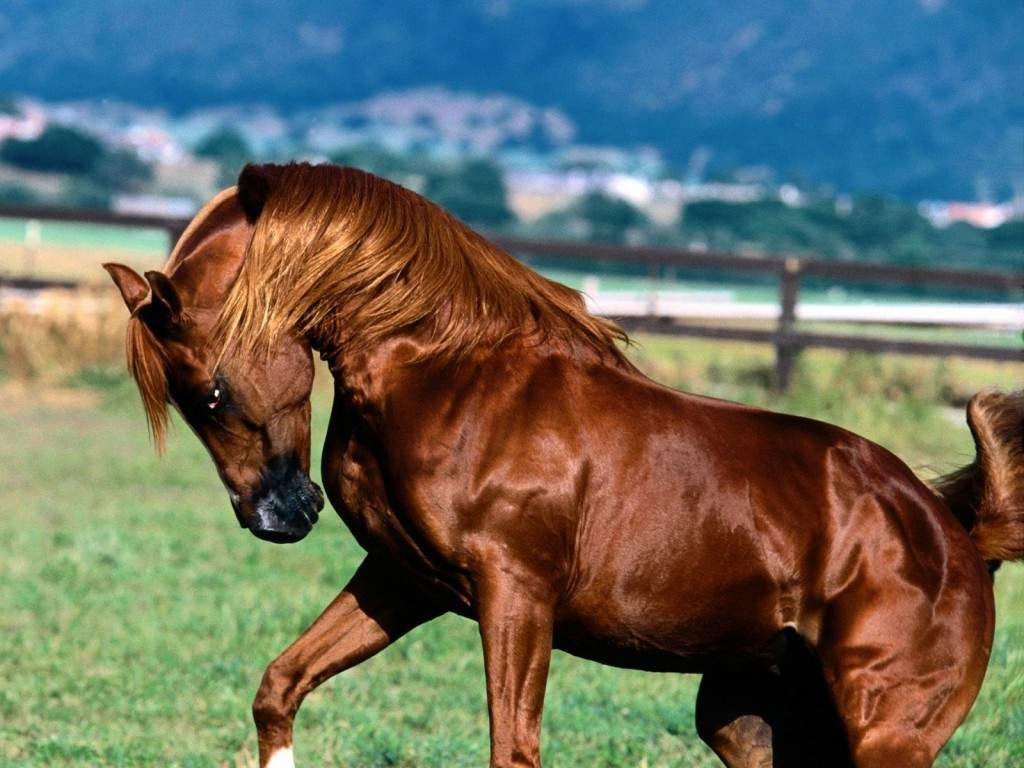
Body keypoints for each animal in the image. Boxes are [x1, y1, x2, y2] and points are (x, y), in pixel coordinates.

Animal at [105, 163, 1024, 768]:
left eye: (209, 392)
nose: (278, 517)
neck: (451, 376)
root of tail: (958, 537)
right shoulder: (404, 580)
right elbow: (281, 684)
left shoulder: (516, 596)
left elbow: (512, 749)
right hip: (748, 719)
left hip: (883, 734)